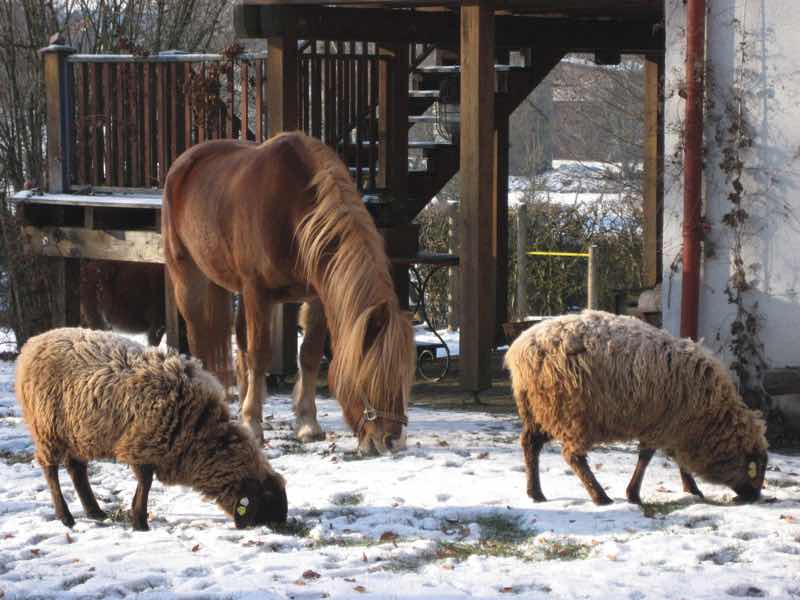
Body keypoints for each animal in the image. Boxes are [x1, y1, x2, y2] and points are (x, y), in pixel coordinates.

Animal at [15, 328, 288, 528]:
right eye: (267, 498)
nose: (283, 526)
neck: (200, 431)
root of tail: (32, 344)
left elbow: (144, 481)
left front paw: (137, 518)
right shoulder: (143, 443)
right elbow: (145, 482)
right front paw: (140, 521)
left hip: (75, 432)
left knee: (76, 469)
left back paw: (95, 511)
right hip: (47, 429)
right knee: (50, 469)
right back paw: (66, 517)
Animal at [160, 129, 416, 452]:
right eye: (369, 375)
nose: (392, 441)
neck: (292, 210)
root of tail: (182, 163)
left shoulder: (316, 296)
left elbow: (309, 354)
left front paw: (307, 424)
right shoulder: (257, 291)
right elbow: (260, 354)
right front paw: (252, 425)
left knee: (239, 339)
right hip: (188, 277)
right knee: (199, 336)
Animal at [506, 310, 768, 506]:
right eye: (753, 469)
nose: (754, 497)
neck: (710, 420)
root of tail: (519, 350)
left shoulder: (674, 427)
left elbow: (675, 459)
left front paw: (691, 489)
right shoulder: (664, 424)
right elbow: (647, 457)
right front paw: (634, 493)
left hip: (539, 410)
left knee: (530, 444)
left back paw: (536, 493)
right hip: (571, 413)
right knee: (573, 456)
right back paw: (600, 497)